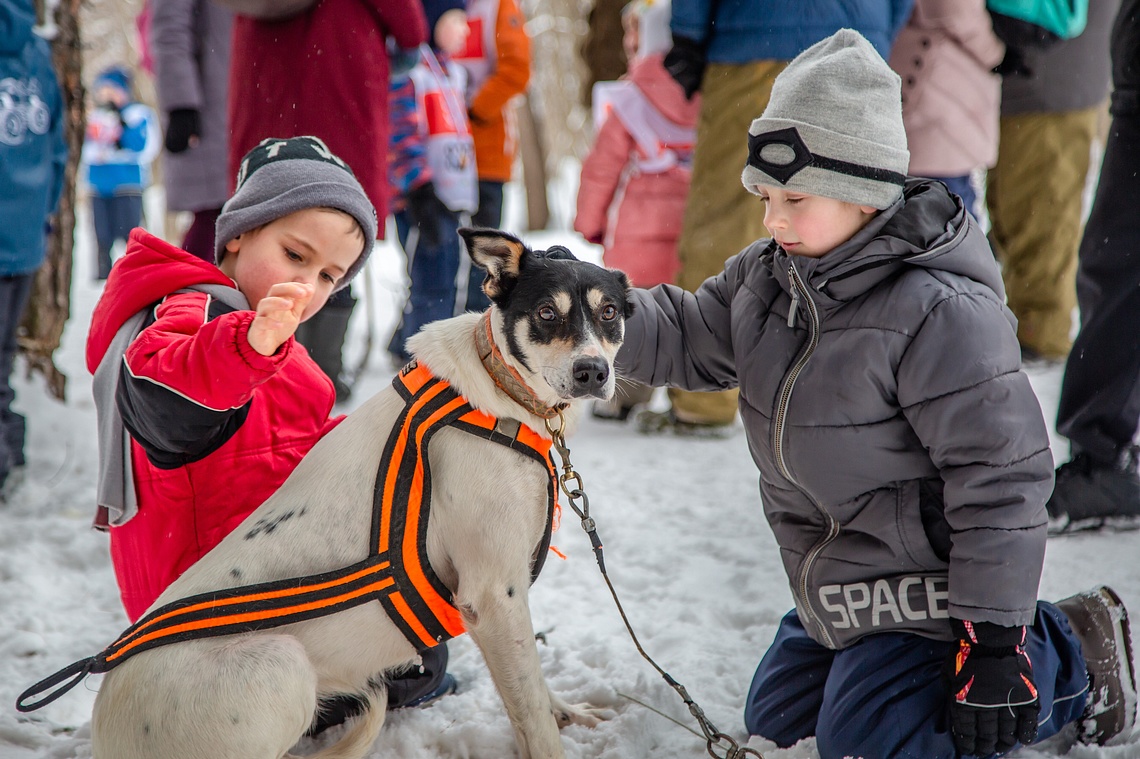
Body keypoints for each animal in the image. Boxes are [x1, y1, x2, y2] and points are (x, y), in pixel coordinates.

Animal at [88, 229, 638, 756]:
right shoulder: (492, 594)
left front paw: (567, 711)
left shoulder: (508, 589)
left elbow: (535, 691)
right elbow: (531, 715)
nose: (592, 371)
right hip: (283, 664)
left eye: (609, 312)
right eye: (547, 312)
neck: (503, 394)